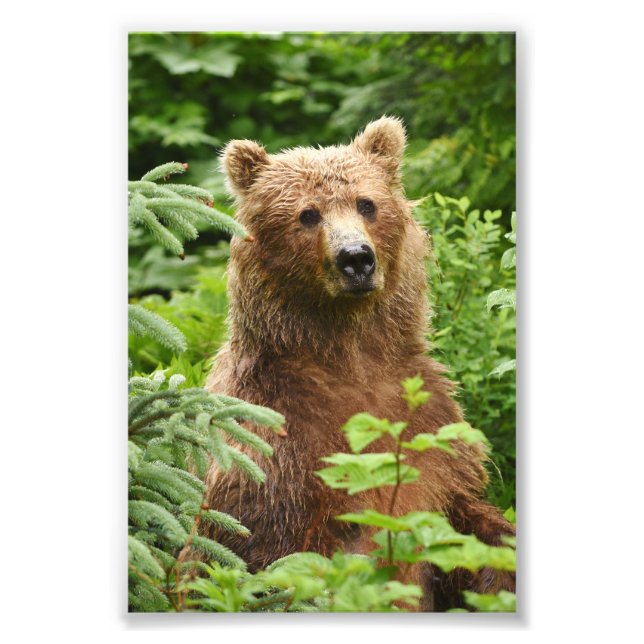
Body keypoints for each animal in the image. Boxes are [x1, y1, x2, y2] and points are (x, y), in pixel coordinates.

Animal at [203, 116, 515, 611]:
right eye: (308, 214)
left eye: (366, 204)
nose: (356, 258)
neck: (349, 355)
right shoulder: (273, 440)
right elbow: (264, 550)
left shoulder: (431, 430)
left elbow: (464, 522)